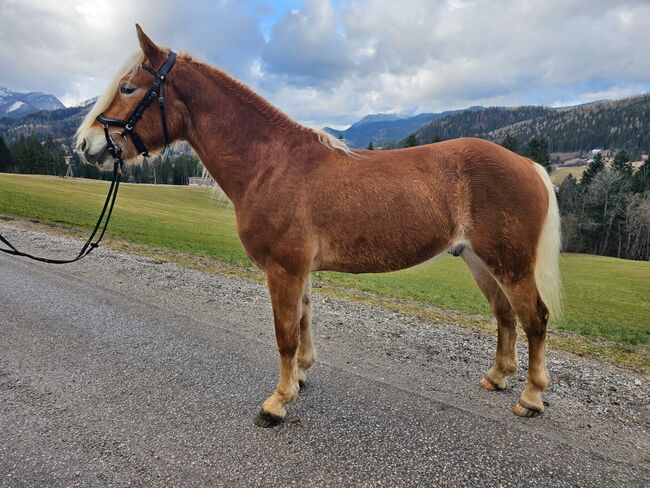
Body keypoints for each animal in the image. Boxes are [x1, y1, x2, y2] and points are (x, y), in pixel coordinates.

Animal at [76, 24, 560, 426]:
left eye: (128, 87)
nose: (85, 144)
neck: (271, 164)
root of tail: (529, 166)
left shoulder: (283, 268)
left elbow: (285, 335)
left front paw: (277, 402)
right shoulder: (299, 269)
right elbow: (304, 321)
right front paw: (301, 378)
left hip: (510, 264)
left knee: (534, 318)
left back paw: (532, 397)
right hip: (480, 261)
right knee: (506, 316)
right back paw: (497, 377)